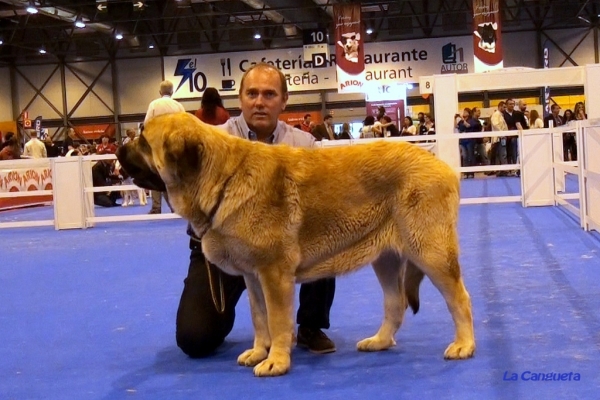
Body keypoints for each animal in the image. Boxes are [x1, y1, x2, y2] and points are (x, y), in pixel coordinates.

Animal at [116, 113, 474, 378]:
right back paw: (380, 341)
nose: (119, 149)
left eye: (144, 141)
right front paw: (259, 351)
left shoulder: (274, 275)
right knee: (395, 303)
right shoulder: (253, 276)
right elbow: (259, 317)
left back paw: (464, 345)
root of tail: (441, 164)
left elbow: (277, 320)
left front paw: (276, 360)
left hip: (430, 252)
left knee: (460, 299)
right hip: (385, 259)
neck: (221, 178)